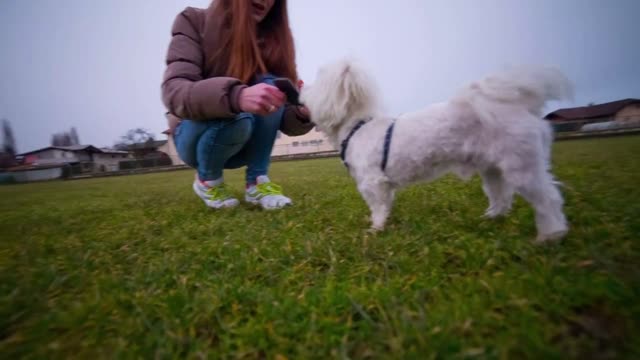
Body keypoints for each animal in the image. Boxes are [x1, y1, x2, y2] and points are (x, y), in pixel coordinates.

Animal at [302, 59, 576, 243]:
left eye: (312, 90)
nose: (299, 89)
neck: (357, 127)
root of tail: (518, 104)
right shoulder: (384, 184)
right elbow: (386, 204)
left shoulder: (373, 181)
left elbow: (378, 207)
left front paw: (376, 229)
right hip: (493, 168)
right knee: (501, 195)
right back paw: (492, 217)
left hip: (521, 166)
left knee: (548, 198)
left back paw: (551, 234)